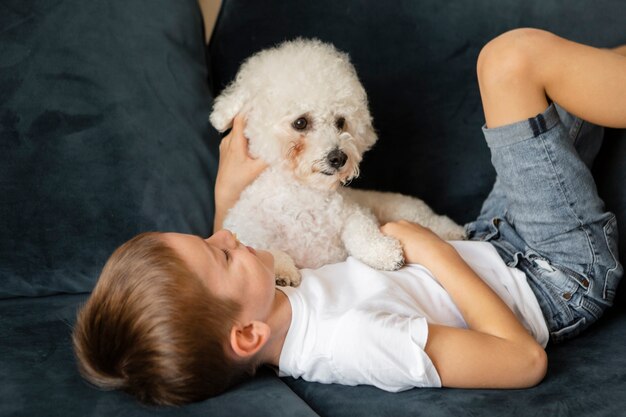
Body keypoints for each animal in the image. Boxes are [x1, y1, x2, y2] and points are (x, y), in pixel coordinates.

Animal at [210, 39, 464, 286]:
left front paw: (384, 252)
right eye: (300, 122)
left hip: (405, 210)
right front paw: (280, 269)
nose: (338, 158)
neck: (302, 196)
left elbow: (362, 230)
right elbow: (261, 248)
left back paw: (454, 231)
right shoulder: (244, 226)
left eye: (341, 122)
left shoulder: (352, 213)